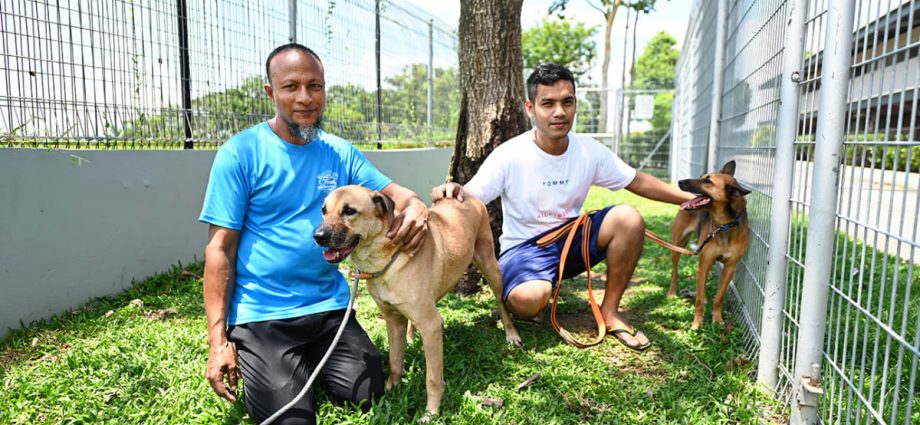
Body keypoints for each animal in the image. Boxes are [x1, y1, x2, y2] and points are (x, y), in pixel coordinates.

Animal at [314, 185, 516, 418]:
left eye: (349, 211)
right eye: (324, 210)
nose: (318, 236)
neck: (385, 260)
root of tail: (466, 195)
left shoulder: (431, 325)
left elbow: (432, 378)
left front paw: (432, 411)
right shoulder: (393, 320)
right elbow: (394, 361)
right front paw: (391, 390)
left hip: (490, 267)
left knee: (501, 303)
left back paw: (512, 335)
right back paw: (411, 337)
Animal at [672, 159, 752, 328]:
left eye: (708, 181)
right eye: (702, 176)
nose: (680, 181)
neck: (724, 225)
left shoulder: (729, 268)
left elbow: (719, 298)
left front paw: (717, 320)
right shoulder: (704, 264)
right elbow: (698, 300)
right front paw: (697, 324)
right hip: (677, 246)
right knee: (675, 272)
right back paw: (672, 293)